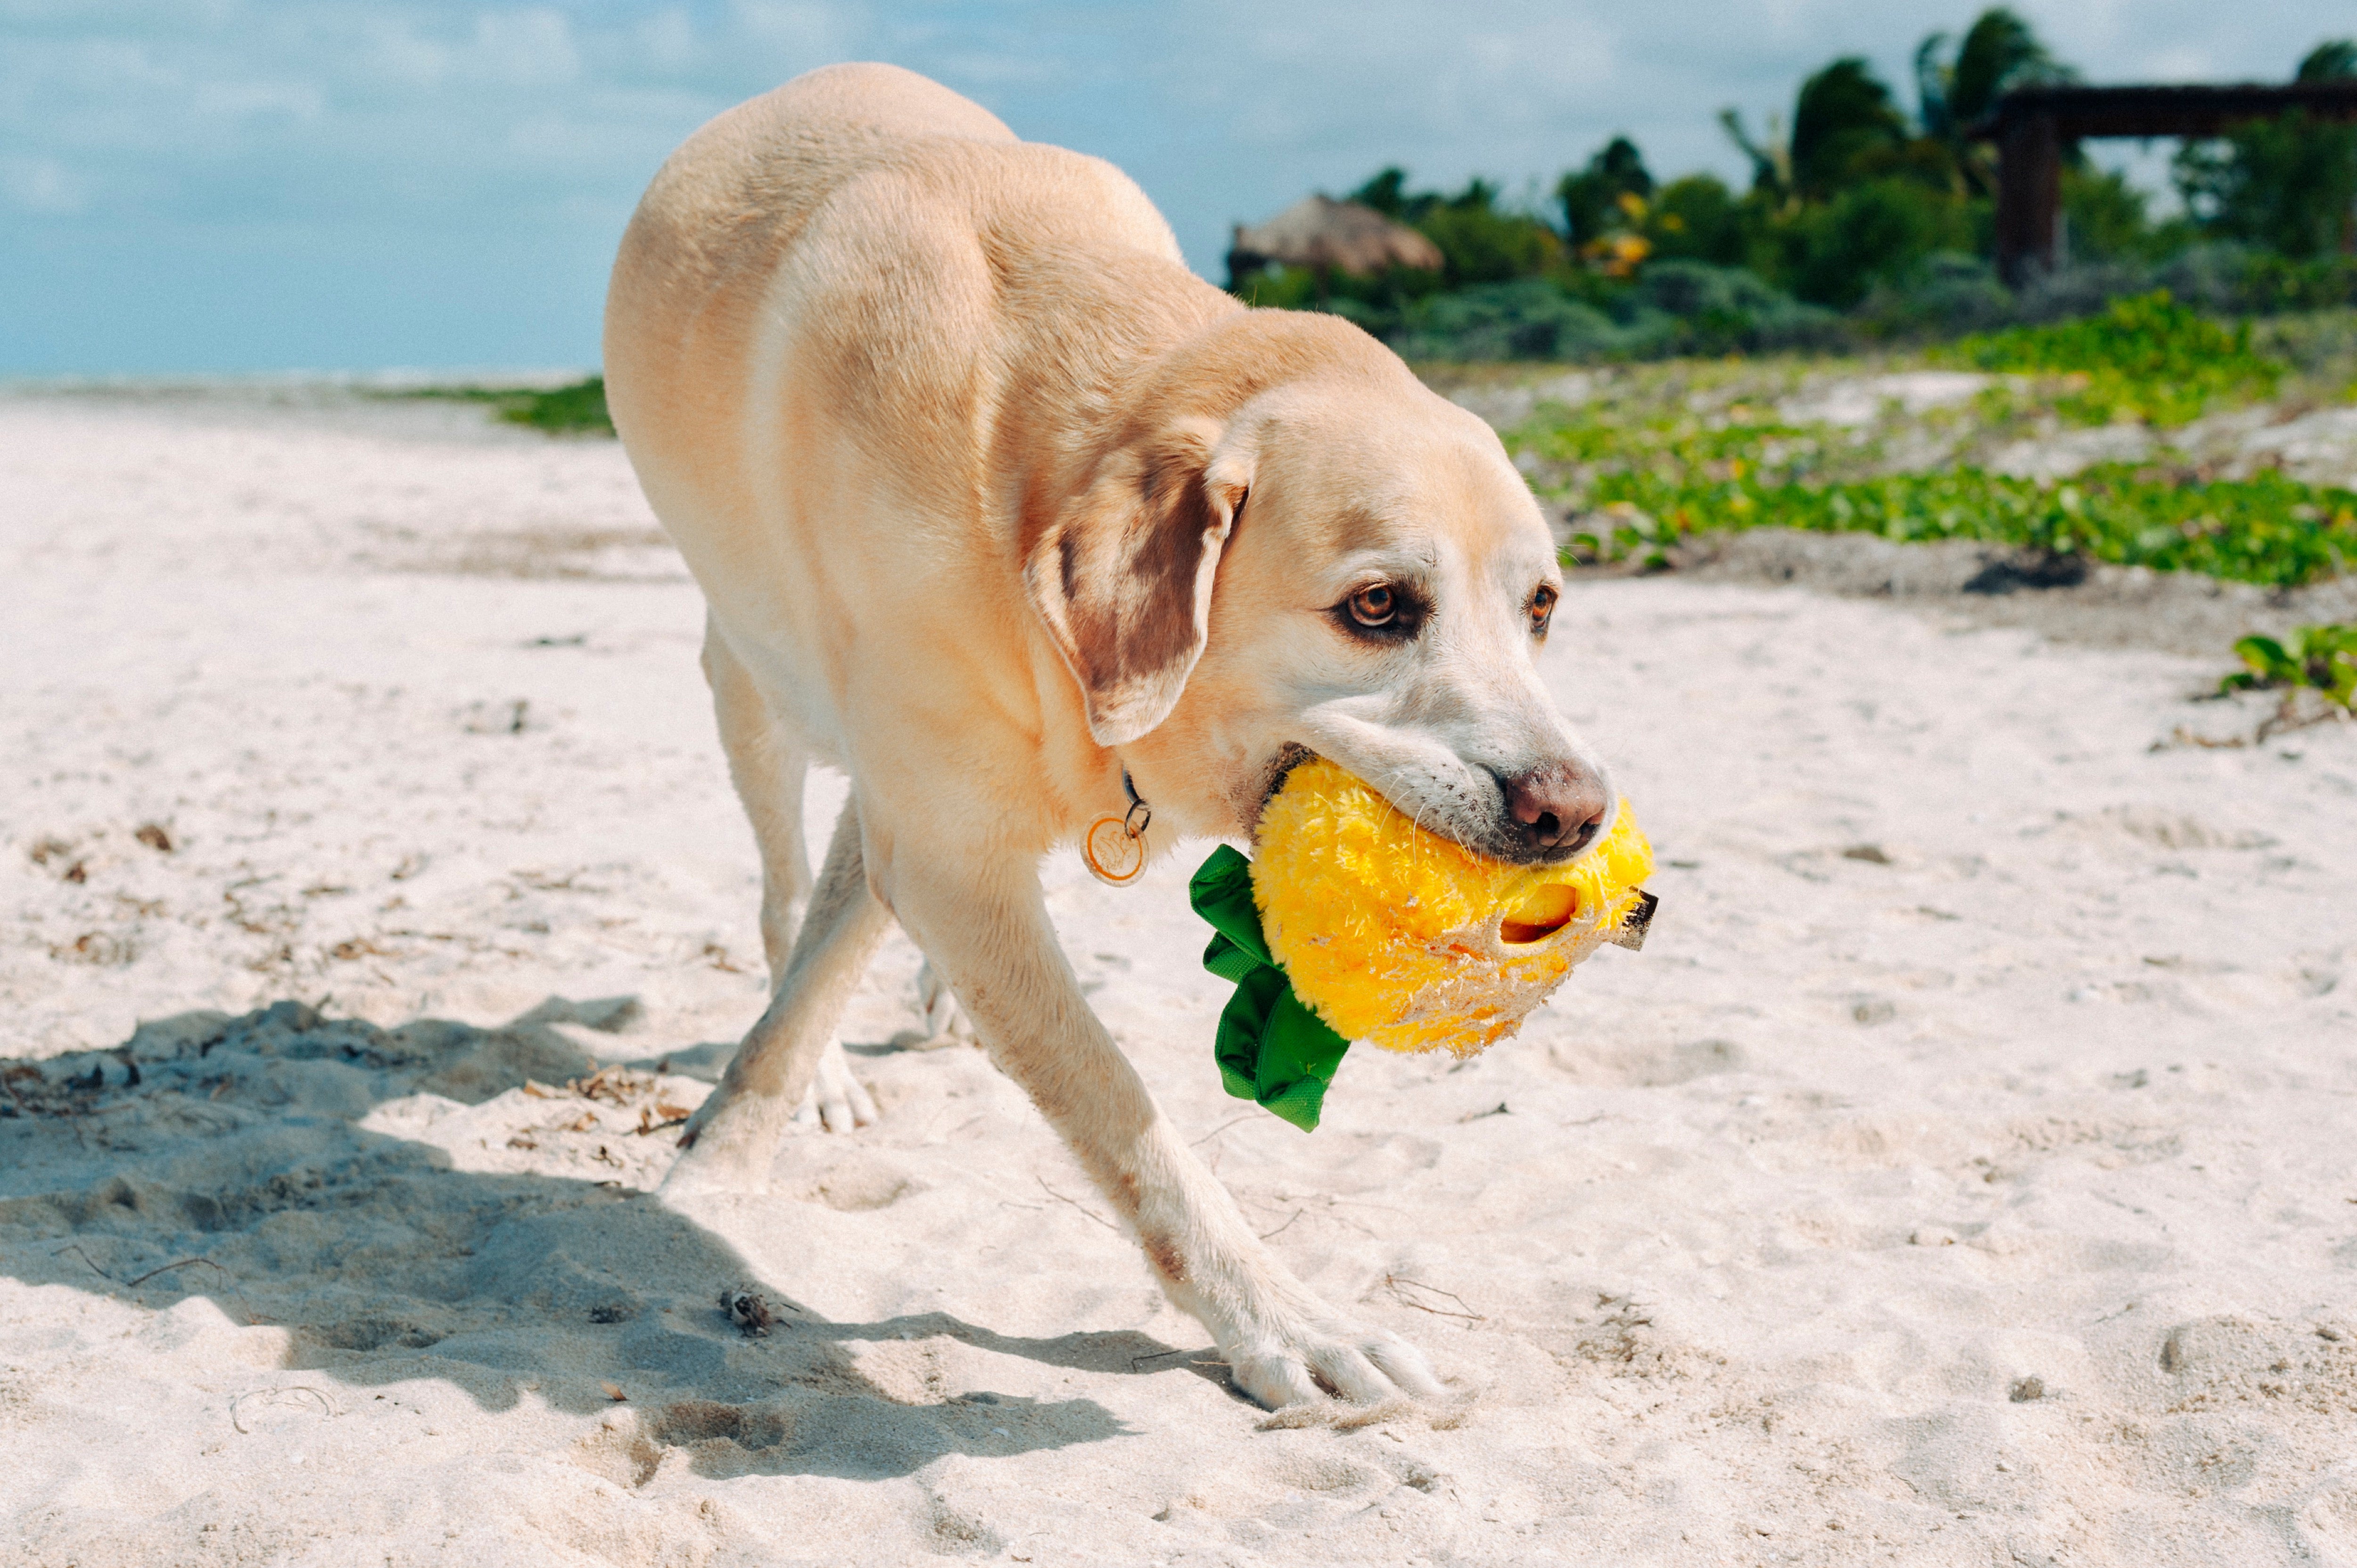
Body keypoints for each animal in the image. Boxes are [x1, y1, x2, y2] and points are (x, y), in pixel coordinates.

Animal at [599, 61, 1612, 1405]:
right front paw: (1289, 1321)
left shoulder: (929, 823)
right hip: (753, 687)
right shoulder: (936, 837)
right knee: (780, 885)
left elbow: (856, 937)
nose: (1576, 813)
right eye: (1378, 607)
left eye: (1540, 607)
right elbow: (1123, 1114)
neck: (1039, 448)